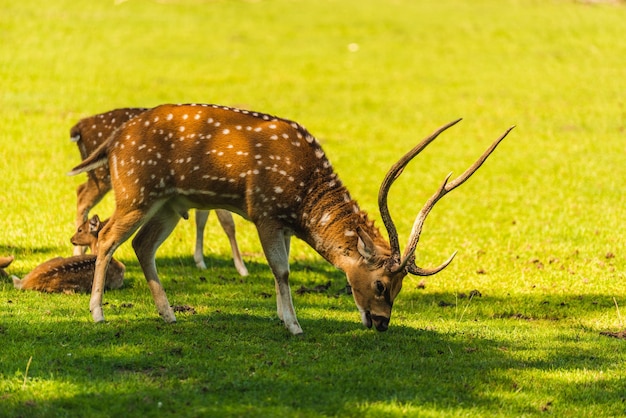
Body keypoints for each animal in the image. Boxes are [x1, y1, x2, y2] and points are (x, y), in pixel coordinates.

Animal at [70, 107, 246, 274]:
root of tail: (79, 127)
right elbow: (228, 222)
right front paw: (242, 269)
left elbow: (203, 220)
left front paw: (201, 262)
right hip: (103, 174)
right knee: (83, 199)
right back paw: (78, 251)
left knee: (80, 189)